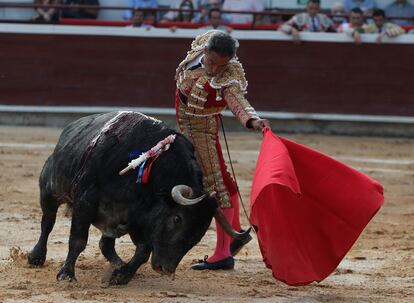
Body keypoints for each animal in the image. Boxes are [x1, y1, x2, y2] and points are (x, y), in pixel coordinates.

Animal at [29, 111, 251, 284]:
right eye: (177, 219)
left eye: (201, 232)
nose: (165, 269)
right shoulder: (85, 200)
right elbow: (78, 240)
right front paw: (66, 275)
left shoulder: (140, 219)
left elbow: (143, 251)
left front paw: (122, 275)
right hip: (49, 190)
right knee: (47, 223)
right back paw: (36, 257)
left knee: (106, 244)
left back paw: (119, 264)